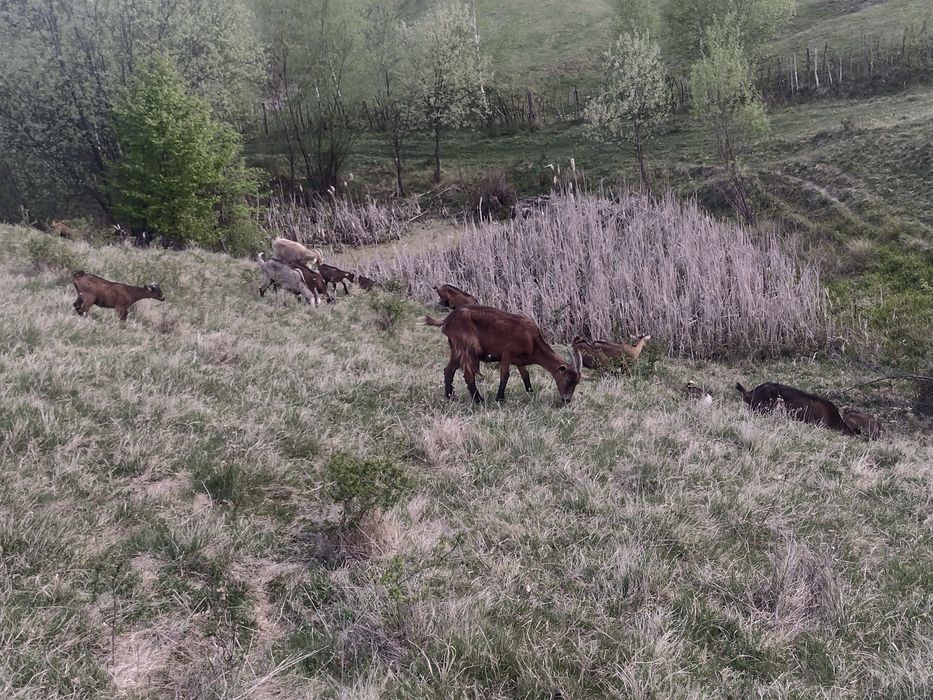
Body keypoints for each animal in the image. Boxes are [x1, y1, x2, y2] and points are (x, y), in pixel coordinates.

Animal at [424, 305, 583, 404]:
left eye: (576, 382)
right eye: (568, 379)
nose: (567, 400)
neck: (532, 341)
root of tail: (447, 320)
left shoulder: (519, 360)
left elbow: (525, 375)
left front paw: (531, 393)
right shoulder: (507, 354)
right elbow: (505, 375)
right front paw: (499, 399)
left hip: (456, 349)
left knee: (449, 370)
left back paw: (451, 397)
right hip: (465, 347)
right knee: (468, 374)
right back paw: (479, 400)